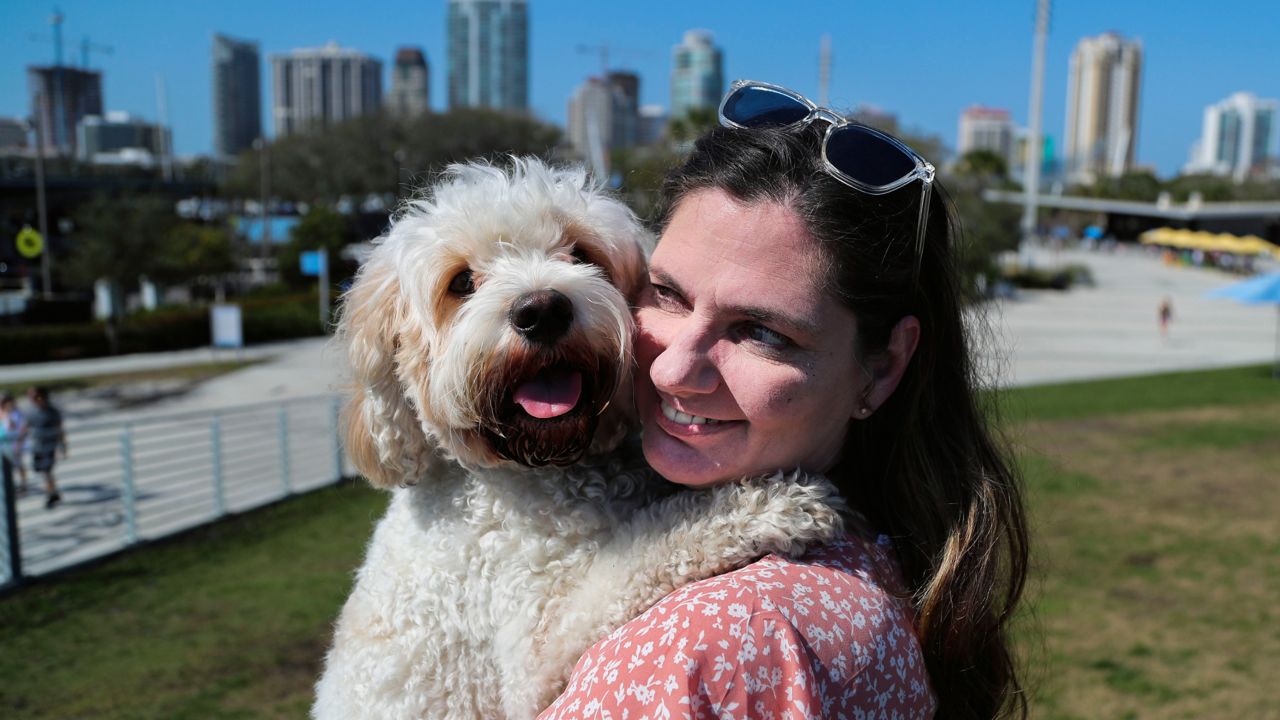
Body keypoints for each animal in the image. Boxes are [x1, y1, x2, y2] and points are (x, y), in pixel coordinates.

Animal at [312, 158, 849, 717]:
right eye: (460, 282)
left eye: (579, 253)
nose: (542, 310)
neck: (547, 469)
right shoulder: (533, 651)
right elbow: (640, 551)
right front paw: (762, 503)